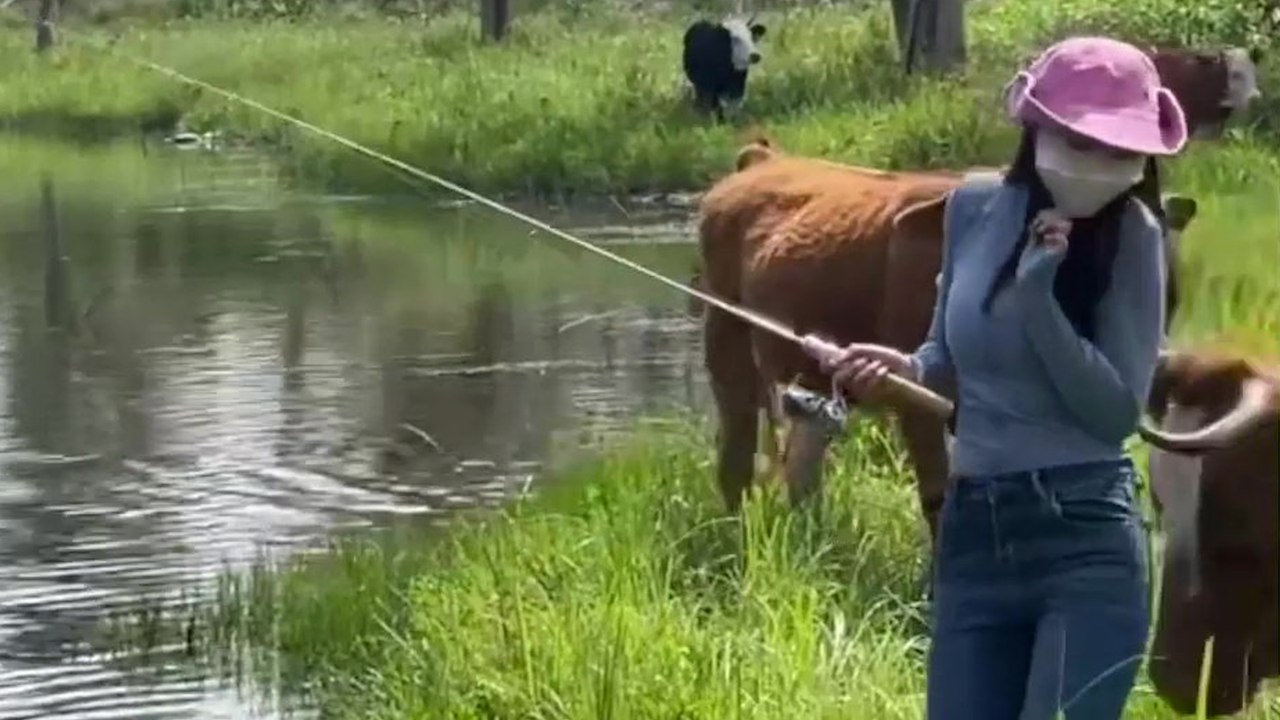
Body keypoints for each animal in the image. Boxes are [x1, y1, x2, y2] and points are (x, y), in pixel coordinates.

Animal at [689, 135, 1199, 548]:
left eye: (1169, 287)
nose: (1157, 370)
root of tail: (761, 158)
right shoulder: (920, 403)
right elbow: (937, 492)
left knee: (802, 462)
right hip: (725, 335)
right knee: (736, 451)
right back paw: (736, 542)